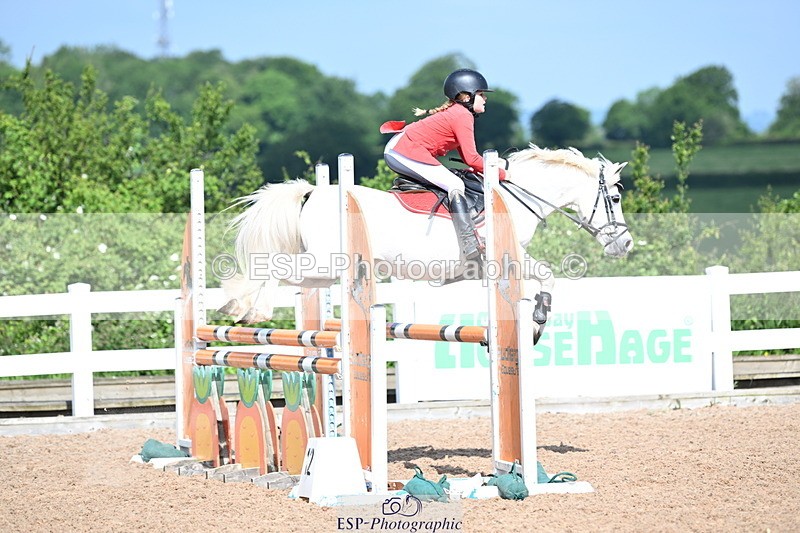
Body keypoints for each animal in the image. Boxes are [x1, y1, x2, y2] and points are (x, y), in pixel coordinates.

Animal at [219, 144, 633, 338]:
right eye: (614, 198)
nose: (626, 245)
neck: (514, 197)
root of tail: (311, 192)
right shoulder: (507, 257)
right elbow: (547, 276)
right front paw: (537, 320)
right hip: (325, 262)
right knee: (274, 267)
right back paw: (253, 311)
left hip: (323, 271)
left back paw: (236, 305)